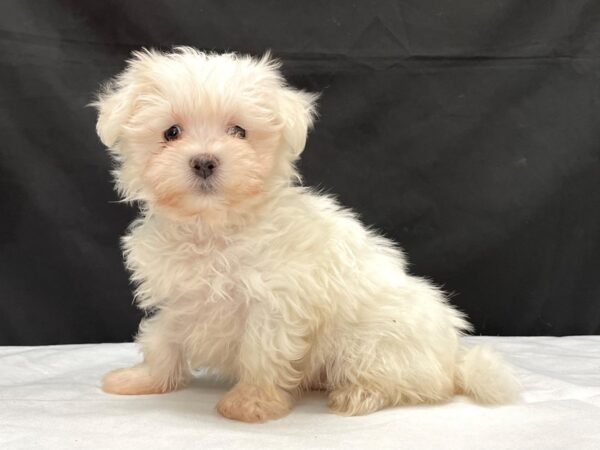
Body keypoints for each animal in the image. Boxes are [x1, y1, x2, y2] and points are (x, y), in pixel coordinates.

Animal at [92, 48, 516, 422]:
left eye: (239, 131)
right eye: (171, 132)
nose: (204, 161)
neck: (214, 226)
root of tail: (452, 358)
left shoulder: (272, 304)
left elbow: (260, 354)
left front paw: (252, 404)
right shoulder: (181, 300)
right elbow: (163, 339)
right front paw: (143, 379)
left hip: (372, 343)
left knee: (410, 383)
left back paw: (356, 394)